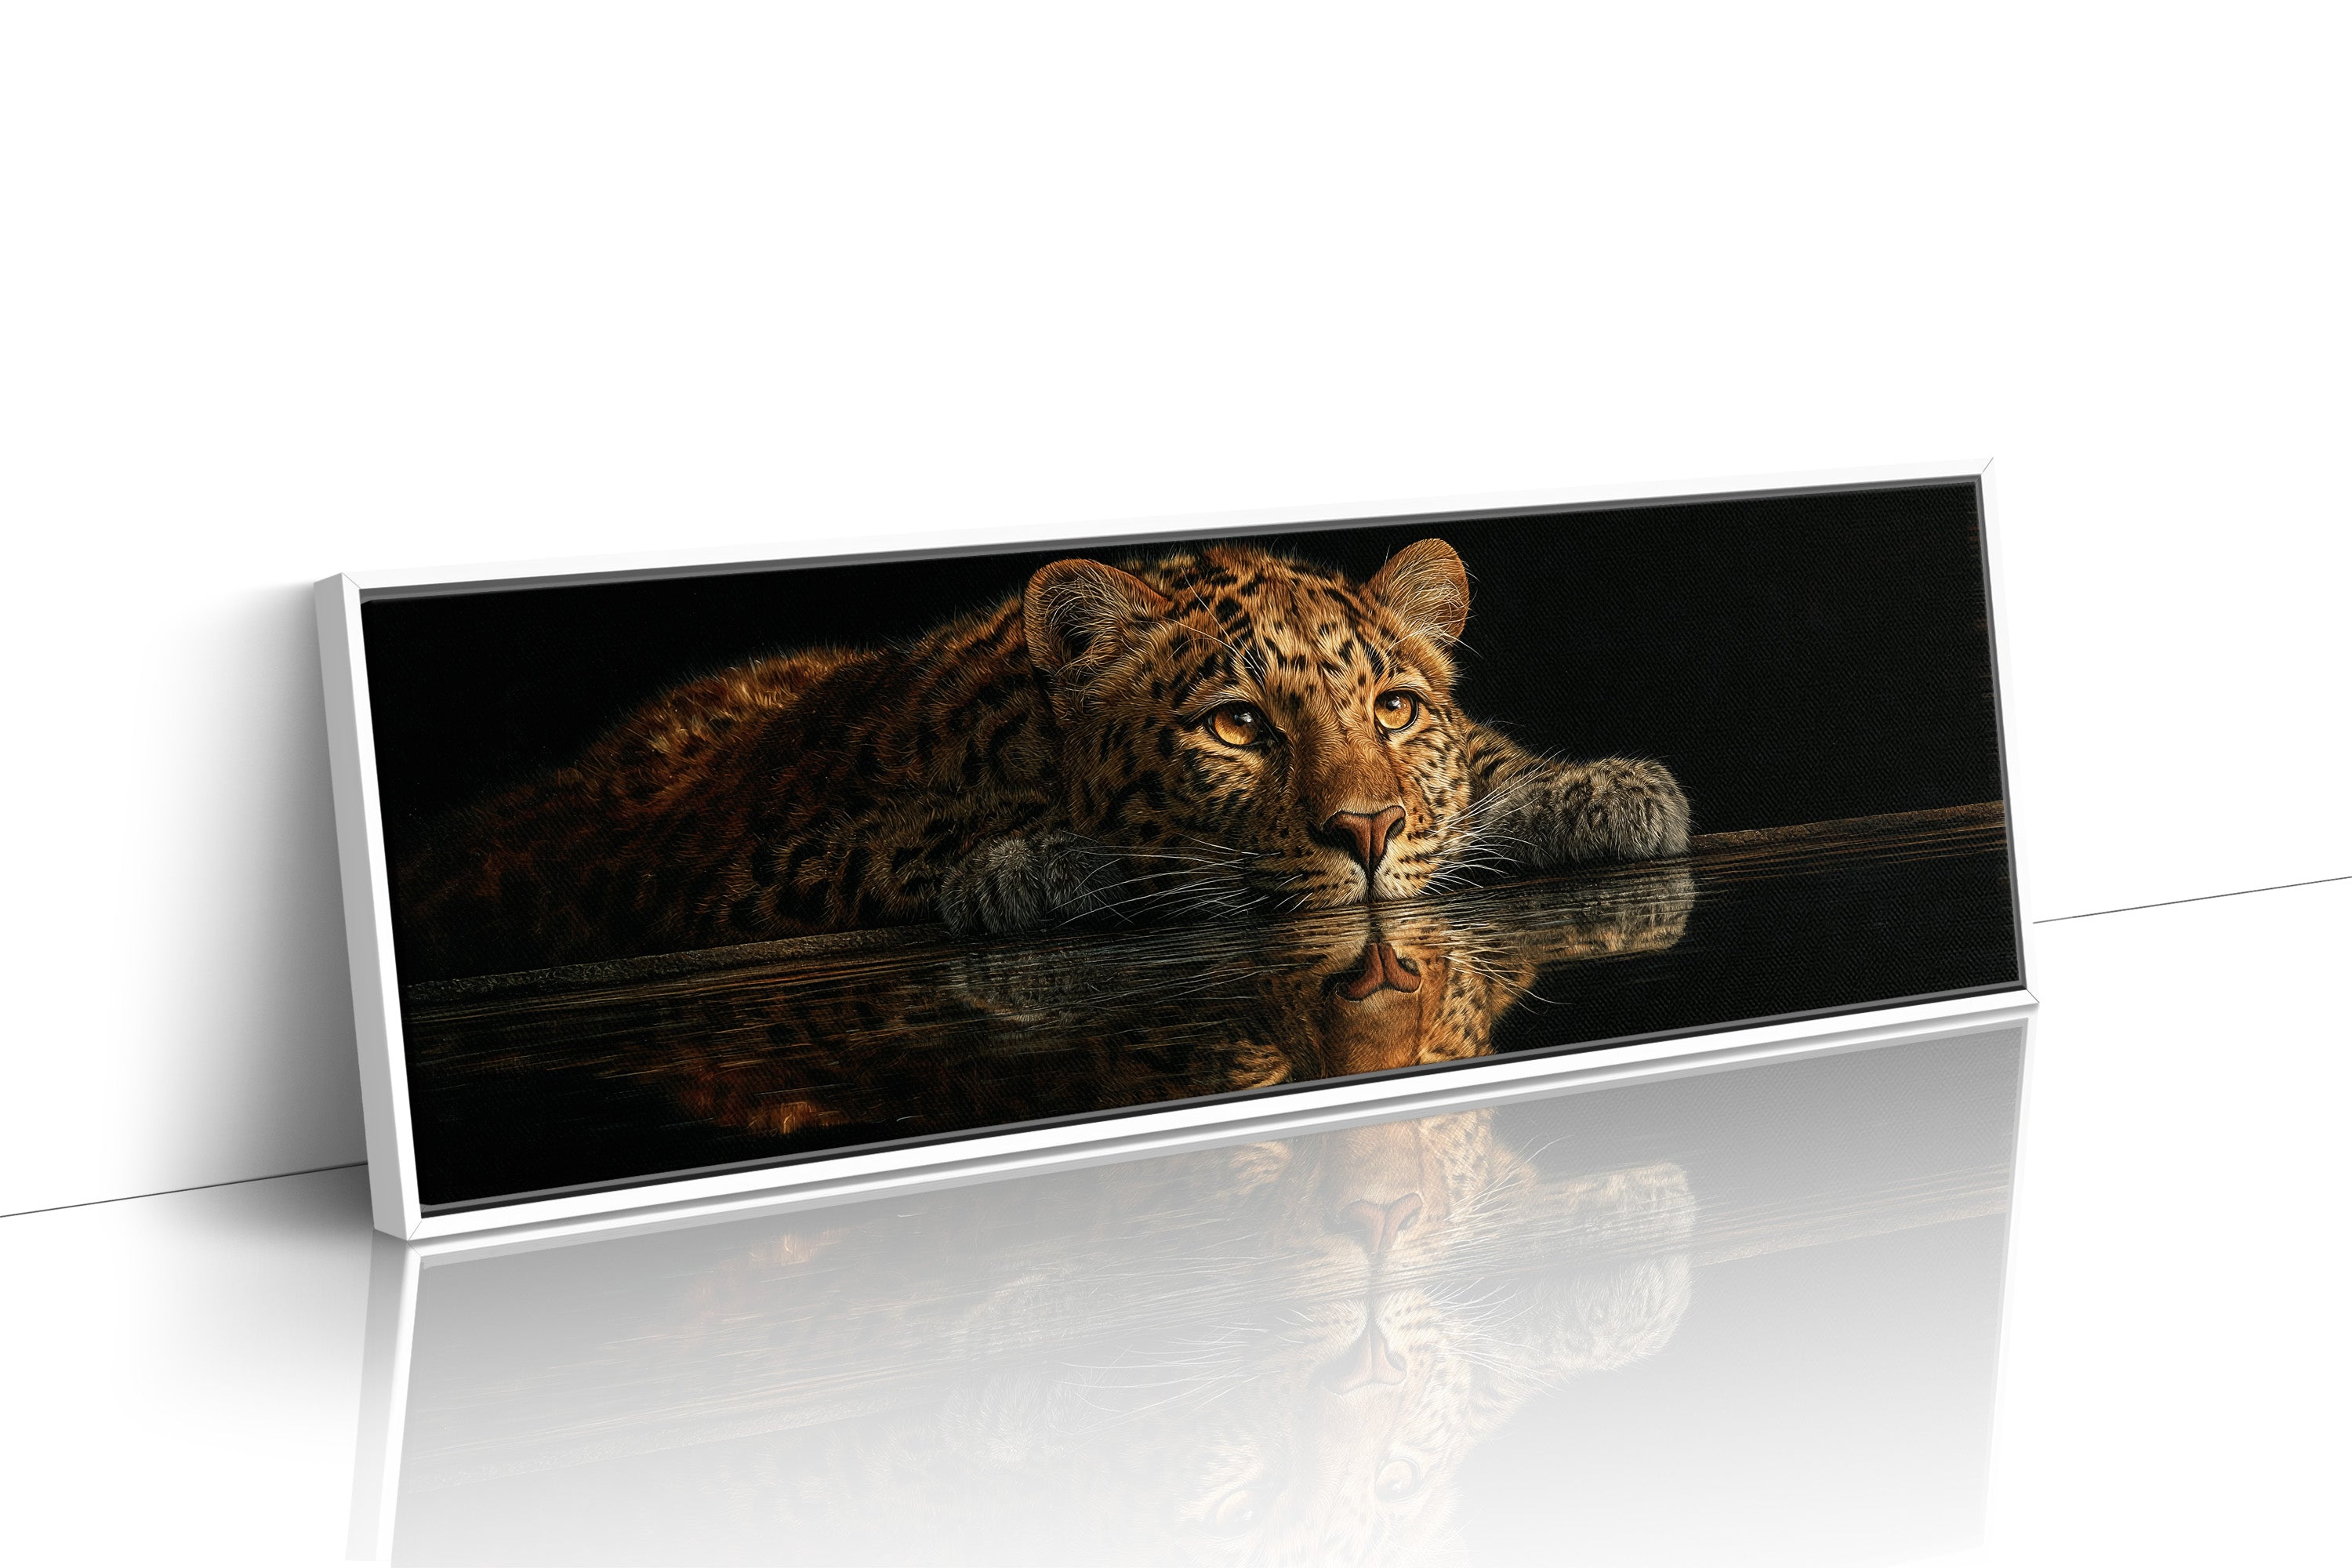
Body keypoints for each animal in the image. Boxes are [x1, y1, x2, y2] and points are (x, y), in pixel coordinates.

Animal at [391, 536, 1690, 980]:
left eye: (1396, 709)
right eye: (1237, 727)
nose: (1363, 831)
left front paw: (1603, 791)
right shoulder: (753, 868)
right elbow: (926, 835)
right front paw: (1043, 866)